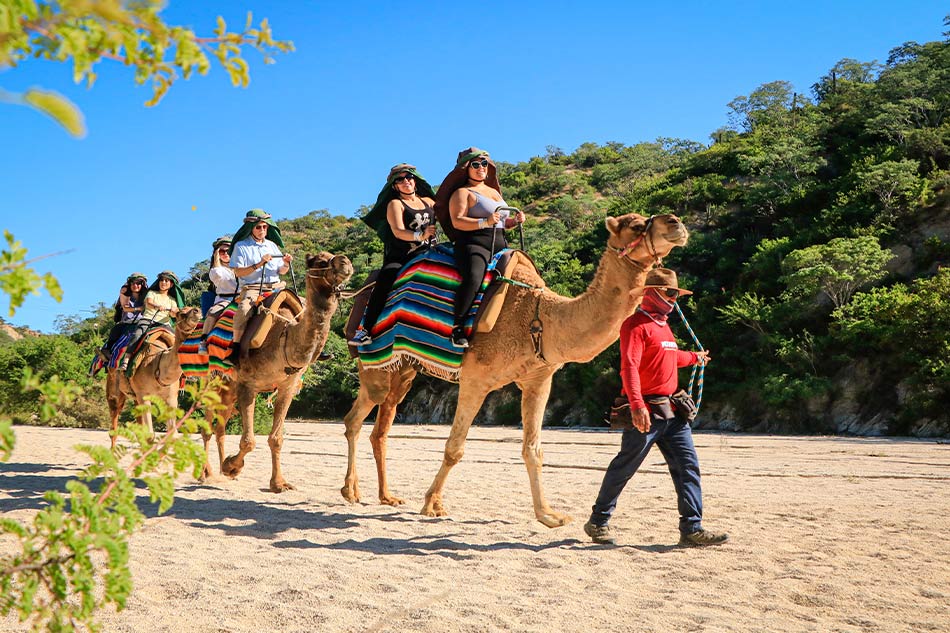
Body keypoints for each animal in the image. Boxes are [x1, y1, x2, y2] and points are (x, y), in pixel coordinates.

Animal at [106, 307, 202, 449]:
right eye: (181, 313)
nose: (197, 310)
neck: (158, 364)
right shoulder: (144, 395)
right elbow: (150, 436)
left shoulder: (171, 398)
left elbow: (172, 435)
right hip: (114, 386)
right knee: (114, 415)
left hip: (135, 396)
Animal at [199, 251, 354, 492]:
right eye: (320, 261)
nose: (345, 262)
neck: (283, 337)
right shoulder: (248, 384)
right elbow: (249, 440)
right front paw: (232, 466)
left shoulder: (287, 386)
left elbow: (276, 438)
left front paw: (278, 483)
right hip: (212, 383)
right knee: (207, 427)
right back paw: (205, 474)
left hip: (228, 390)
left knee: (220, 428)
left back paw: (221, 472)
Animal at [341, 213, 689, 527]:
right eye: (637, 225)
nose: (676, 223)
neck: (539, 316)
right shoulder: (476, 378)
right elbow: (455, 448)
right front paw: (432, 505)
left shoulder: (538, 380)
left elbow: (533, 450)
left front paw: (549, 516)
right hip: (374, 365)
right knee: (355, 418)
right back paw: (350, 492)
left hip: (404, 369)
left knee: (381, 425)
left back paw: (386, 496)